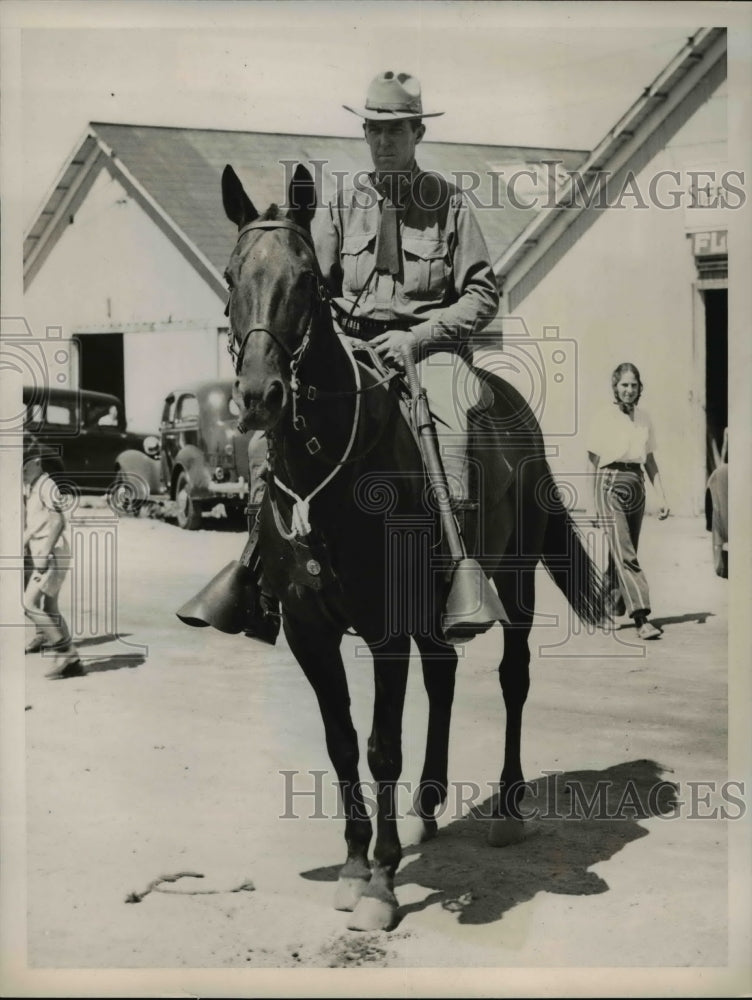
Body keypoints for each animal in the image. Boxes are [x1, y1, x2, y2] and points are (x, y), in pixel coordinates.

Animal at [219, 160, 604, 932]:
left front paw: (382, 882)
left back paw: (507, 808)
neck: (326, 474)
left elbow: (381, 746)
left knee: (512, 679)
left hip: (513, 583)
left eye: (307, 279)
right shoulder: (309, 629)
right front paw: (354, 863)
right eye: (230, 274)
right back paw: (431, 804)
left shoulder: (386, 627)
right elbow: (341, 744)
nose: (259, 396)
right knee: (446, 674)